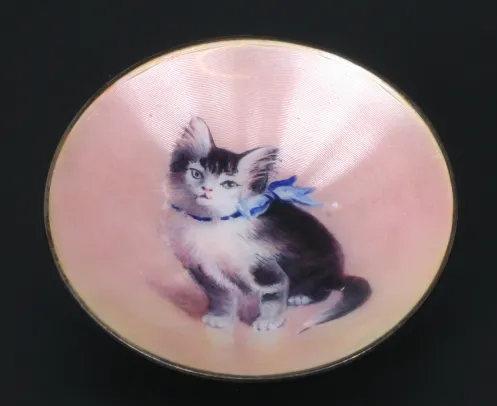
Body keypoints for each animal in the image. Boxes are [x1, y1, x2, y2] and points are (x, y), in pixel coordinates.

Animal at [164, 117, 371, 333]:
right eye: (196, 174)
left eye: (228, 184)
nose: (206, 189)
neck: (211, 224)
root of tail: (338, 273)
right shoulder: (203, 270)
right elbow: (221, 296)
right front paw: (221, 318)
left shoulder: (264, 264)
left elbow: (273, 292)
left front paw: (269, 321)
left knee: (324, 290)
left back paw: (300, 297)